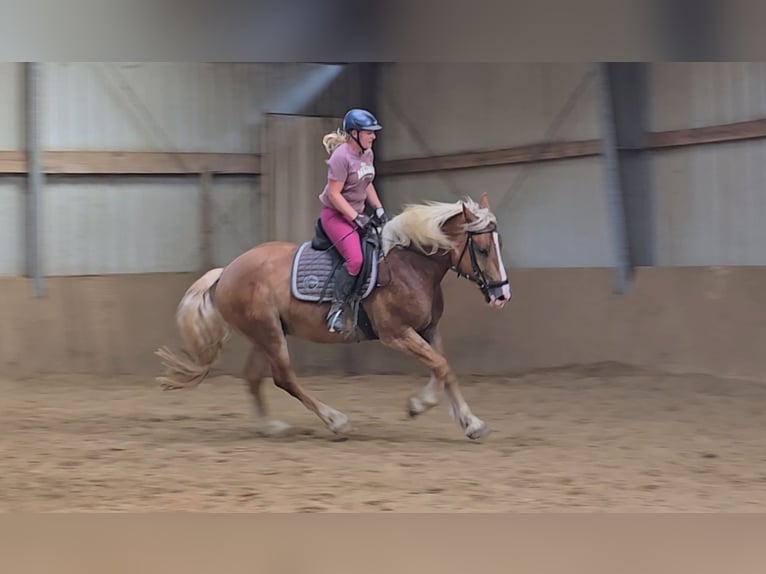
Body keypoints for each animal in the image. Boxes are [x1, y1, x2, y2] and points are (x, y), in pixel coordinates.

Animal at [156, 192, 512, 440]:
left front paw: (469, 422)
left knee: (254, 378)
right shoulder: (396, 334)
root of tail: (227, 270)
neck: (410, 264)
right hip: (268, 332)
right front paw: (420, 406)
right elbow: (439, 366)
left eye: (498, 245)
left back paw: (271, 427)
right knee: (284, 378)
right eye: (482, 250)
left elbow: (444, 369)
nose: (502, 295)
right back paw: (335, 421)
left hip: (265, 333)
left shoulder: (428, 329)